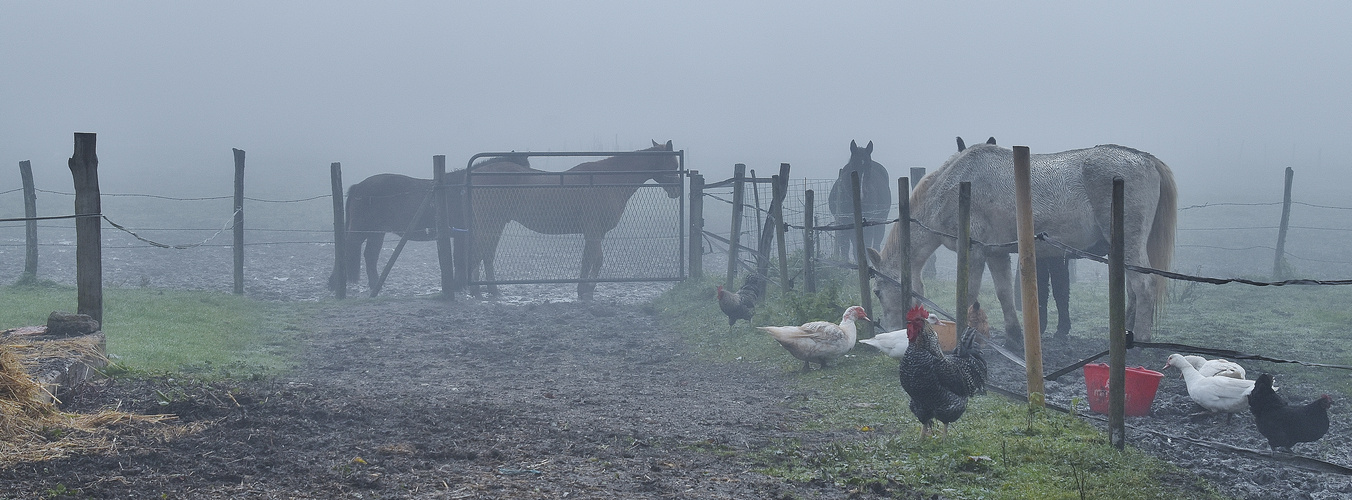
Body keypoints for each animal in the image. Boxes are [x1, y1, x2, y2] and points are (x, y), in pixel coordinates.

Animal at [329, 153, 529, 293]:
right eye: (520, 173)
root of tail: (358, 187)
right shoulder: (461, 234)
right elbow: (459, 259)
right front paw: (459, 286)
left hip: (376, 233)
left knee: (370, 256)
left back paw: (375, 286)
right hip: (362, 231)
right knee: (346, 250)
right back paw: (337, 284)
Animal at [865, 142, 1173, 341]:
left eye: (878, 292)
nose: (889, 329)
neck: (953, 187)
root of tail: (1145, 158)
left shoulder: (974, 252)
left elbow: (970, 293)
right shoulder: (995, 253)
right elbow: (1004, 293)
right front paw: (1014, 336)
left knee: (1143, 287)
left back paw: (1140, 339)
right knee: (1133, 290)